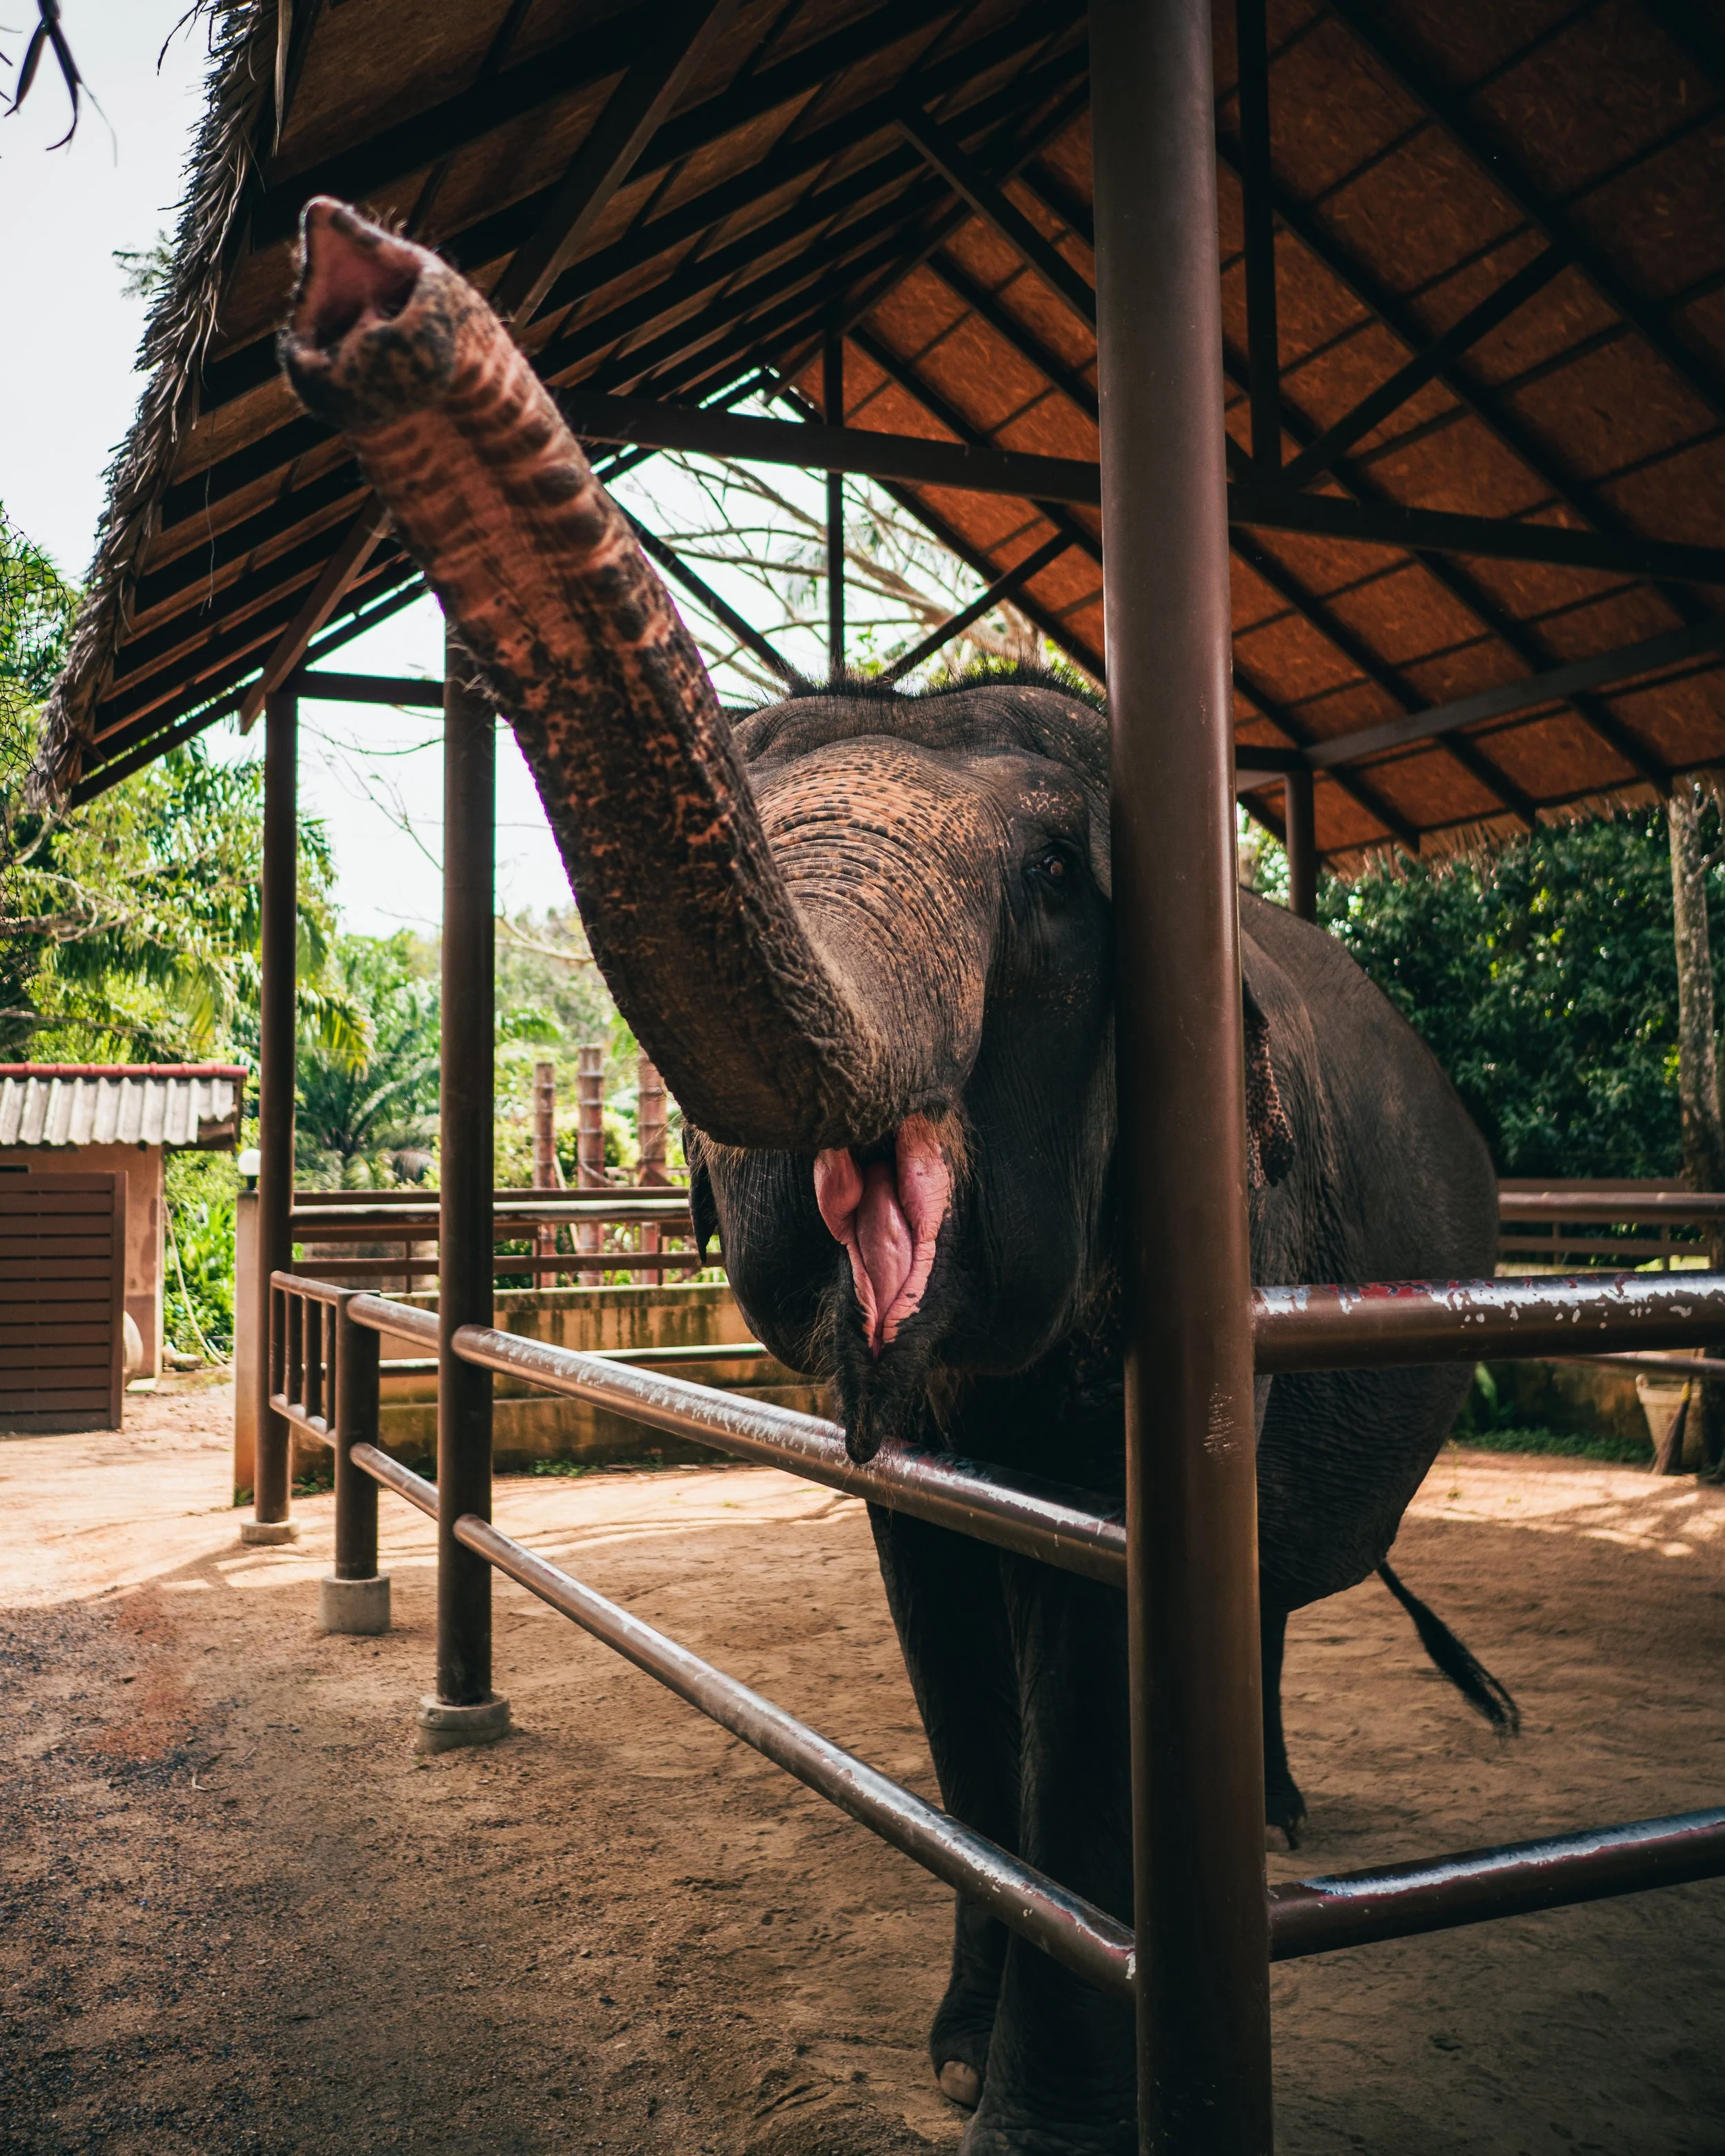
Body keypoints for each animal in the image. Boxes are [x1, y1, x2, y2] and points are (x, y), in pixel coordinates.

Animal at [280, 199, 1514, 2155]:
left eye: (1057, 888)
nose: (354, 265)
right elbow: (938, 1612)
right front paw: (950, 2048)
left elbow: (1096, 1636)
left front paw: (1046, 2113)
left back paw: (1266, 1829)